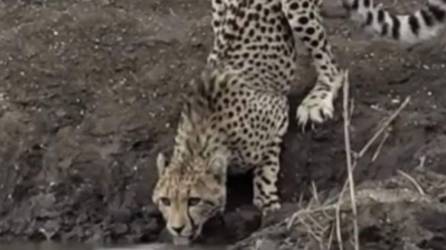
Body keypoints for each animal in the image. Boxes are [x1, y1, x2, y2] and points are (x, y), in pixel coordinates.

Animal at [153, 0, 348, 245]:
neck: (200, 137)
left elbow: (266, 167)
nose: (176, 228)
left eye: (194, 201)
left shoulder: (278, 112)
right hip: (218, 9)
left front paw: (267, 203)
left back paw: (318, 98)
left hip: (296, 9)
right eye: (165, 201)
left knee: (331, 66)